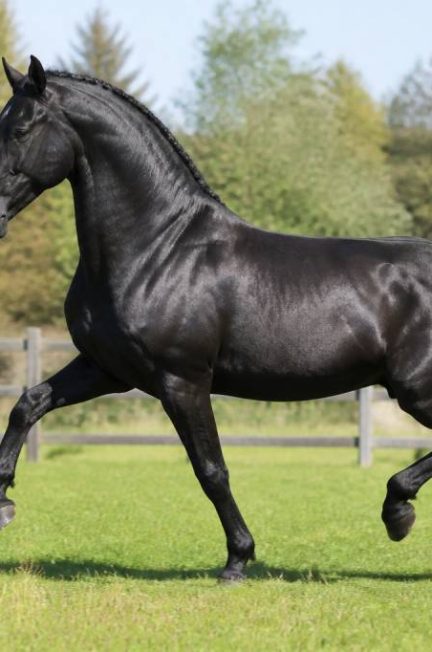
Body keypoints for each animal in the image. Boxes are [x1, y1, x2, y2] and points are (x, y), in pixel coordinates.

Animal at [0, 56, 428, 581]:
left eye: (21, 129)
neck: (159, 248)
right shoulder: (107, 369)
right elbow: (28, 403)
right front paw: (4, 502)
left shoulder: (181, 380)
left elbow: (210, 470)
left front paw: (237, 559)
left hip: (416, 389)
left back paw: (397, 511)